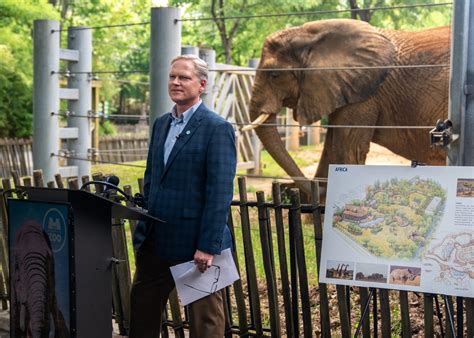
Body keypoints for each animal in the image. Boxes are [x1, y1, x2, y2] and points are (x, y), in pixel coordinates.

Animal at [246, 18, 450, 197]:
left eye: (274, 75)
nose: (285, 188)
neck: (309, 35)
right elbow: (331, 148)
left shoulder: (363, 95)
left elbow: (348, 150)